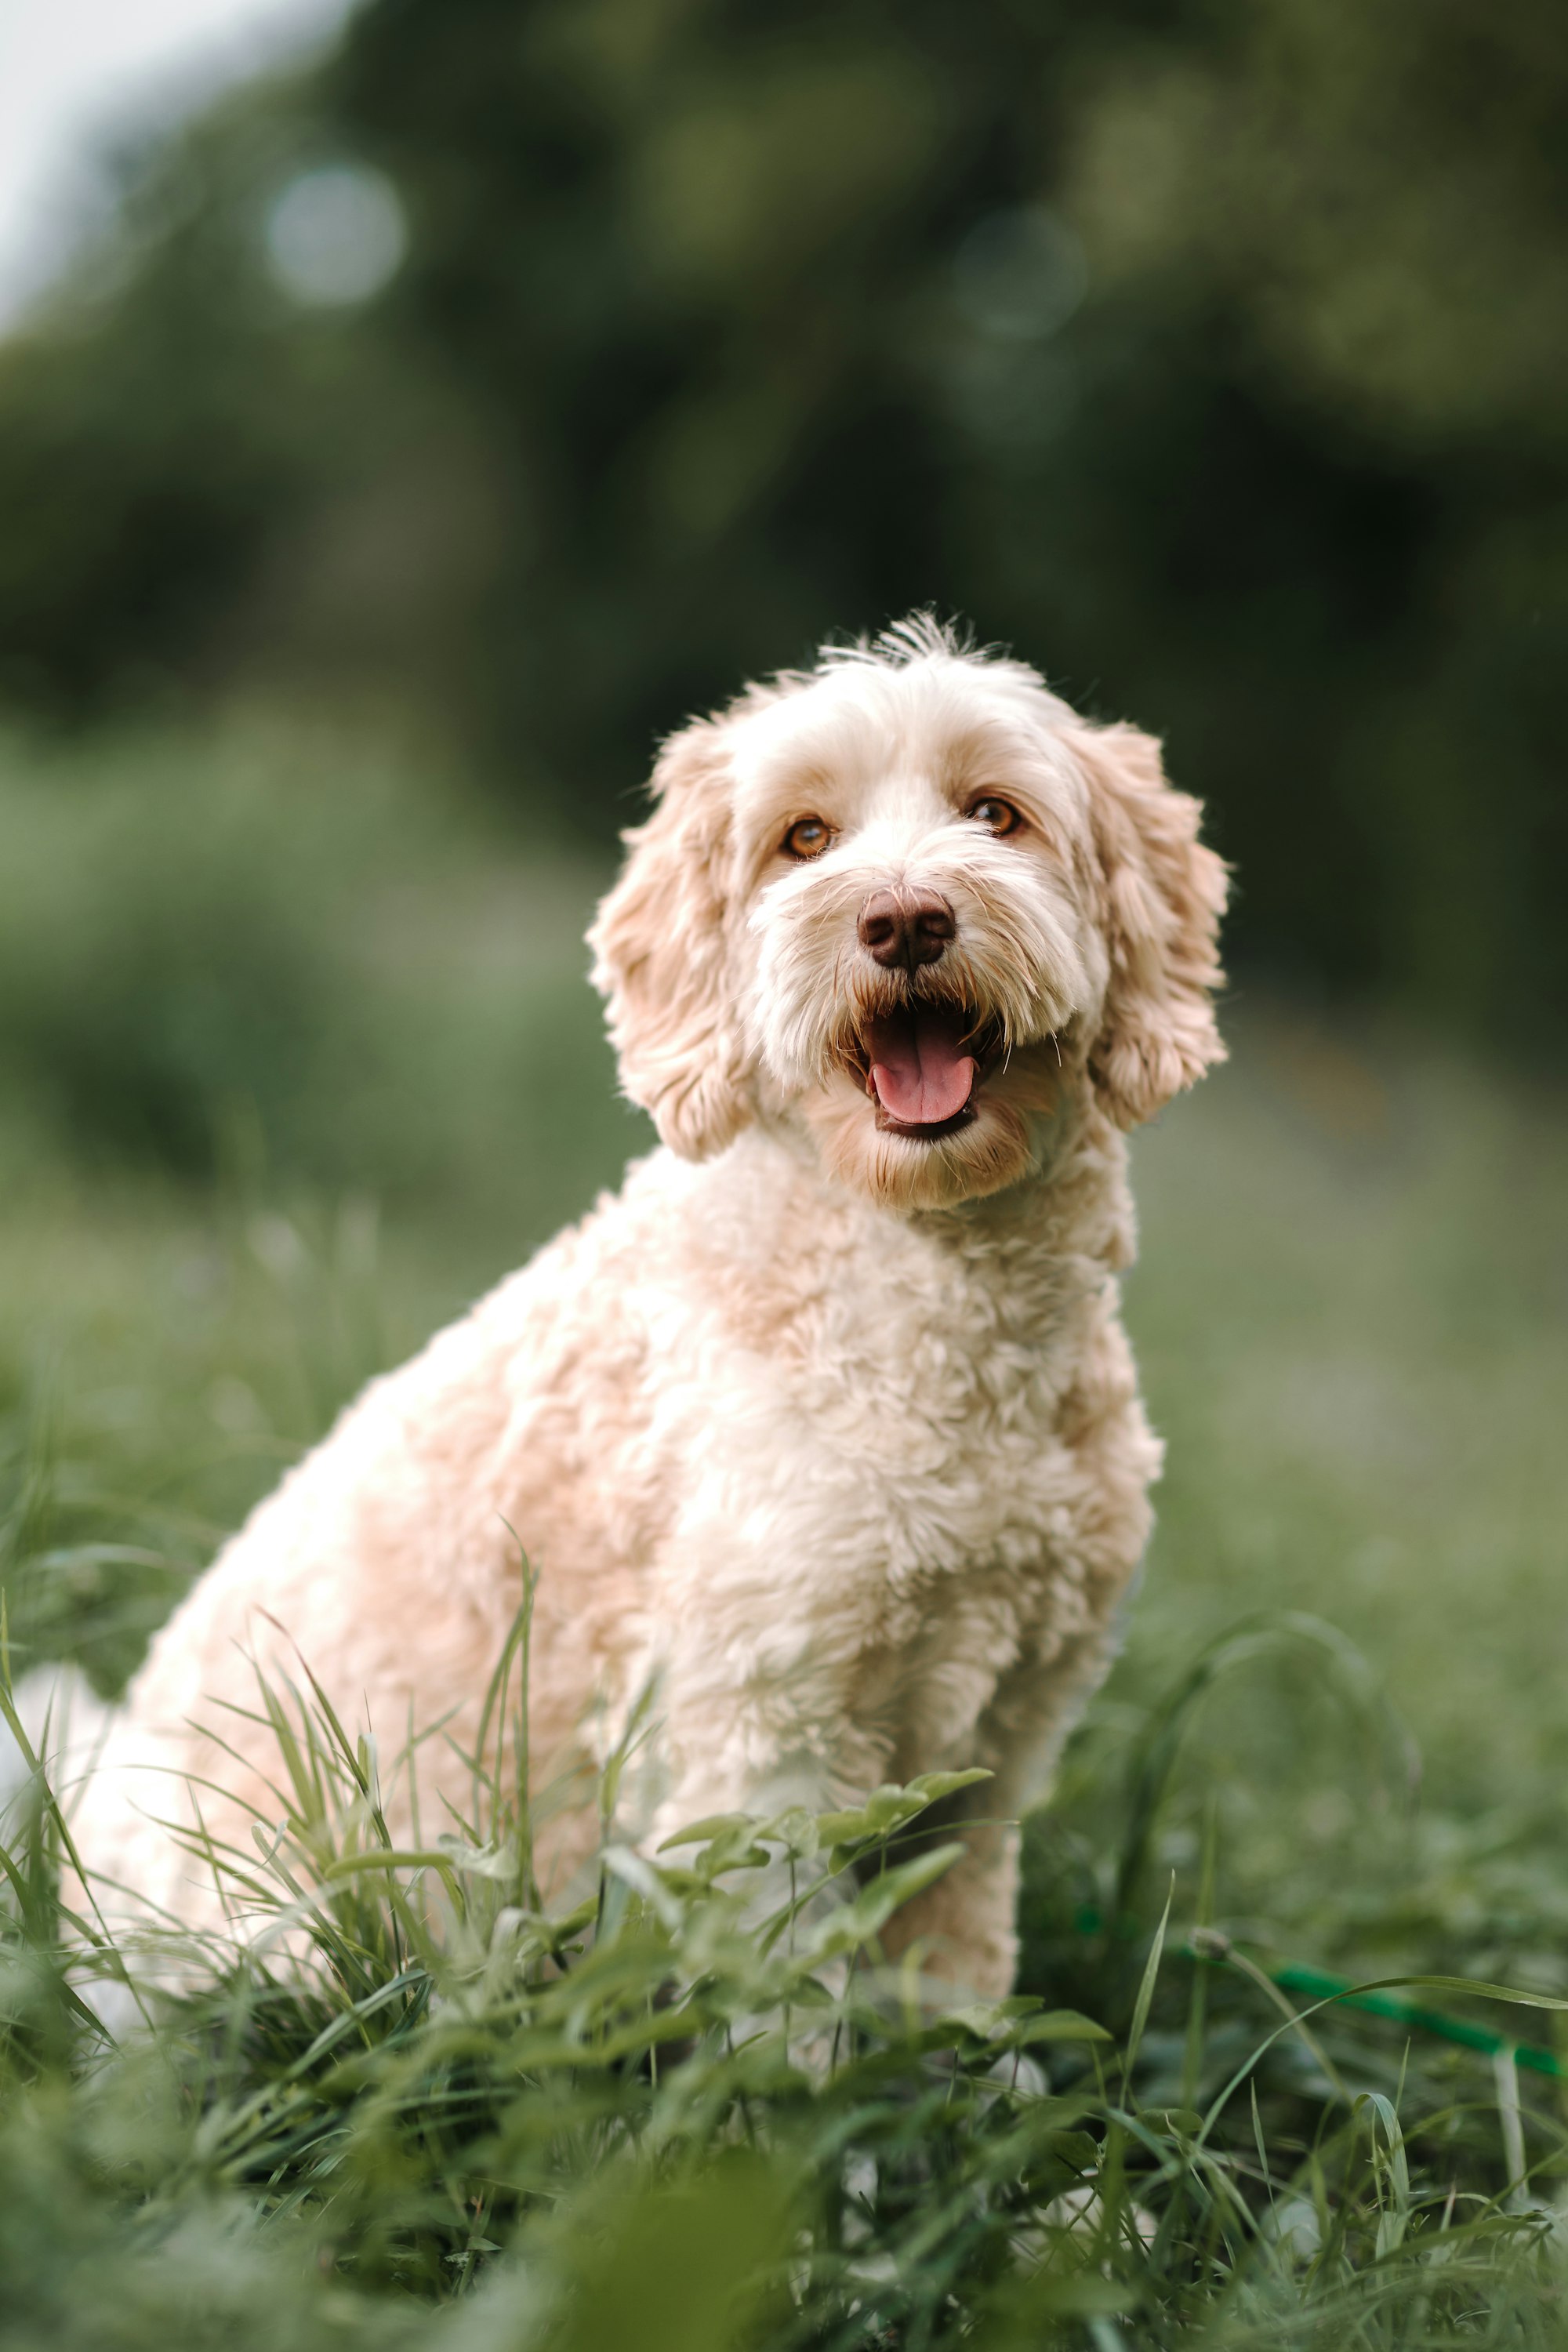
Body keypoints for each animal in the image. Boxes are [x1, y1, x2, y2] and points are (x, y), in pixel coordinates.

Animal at [70, 616, 1222, 1994]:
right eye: (805, 839)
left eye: (996, 814)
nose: (904, 919)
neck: (930, 1294)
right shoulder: (761, 1724)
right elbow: (784, 1995)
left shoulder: (998, 1741)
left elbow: (950, 1972)